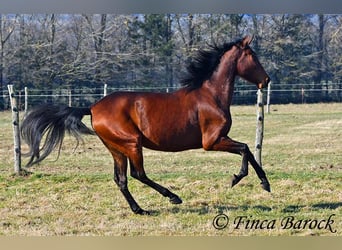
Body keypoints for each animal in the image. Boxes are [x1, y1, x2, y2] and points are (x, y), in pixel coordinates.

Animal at [22, 35, 272, 215]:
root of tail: (92, 107)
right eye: (252, 55)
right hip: (132, 143)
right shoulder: (212, 141)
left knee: (121, 179)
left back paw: (139, 210)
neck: (211, 96)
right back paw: (173, 197)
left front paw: (265, 184)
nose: (266, 80)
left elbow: (248, 150)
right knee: (138, 174)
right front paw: (238, 178)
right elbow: (246, 149)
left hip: (117, 148)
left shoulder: (218, 140)